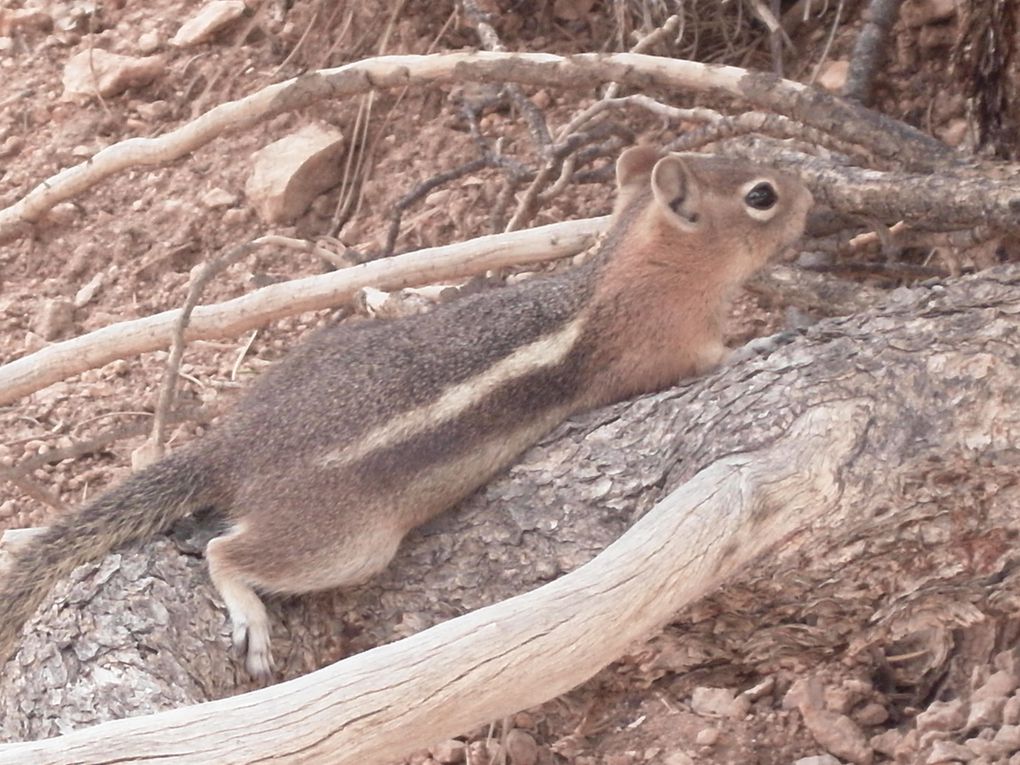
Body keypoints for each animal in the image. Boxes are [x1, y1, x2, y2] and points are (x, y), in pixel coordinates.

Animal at [0, 146, 811, 681]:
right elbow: (703, 362)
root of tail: (231, 444)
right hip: (347, 539)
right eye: (762, 195)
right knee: (227, 551)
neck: (638, 270)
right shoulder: (653, 353)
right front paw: (766, 338)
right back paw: (249, 615)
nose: (811, 195)